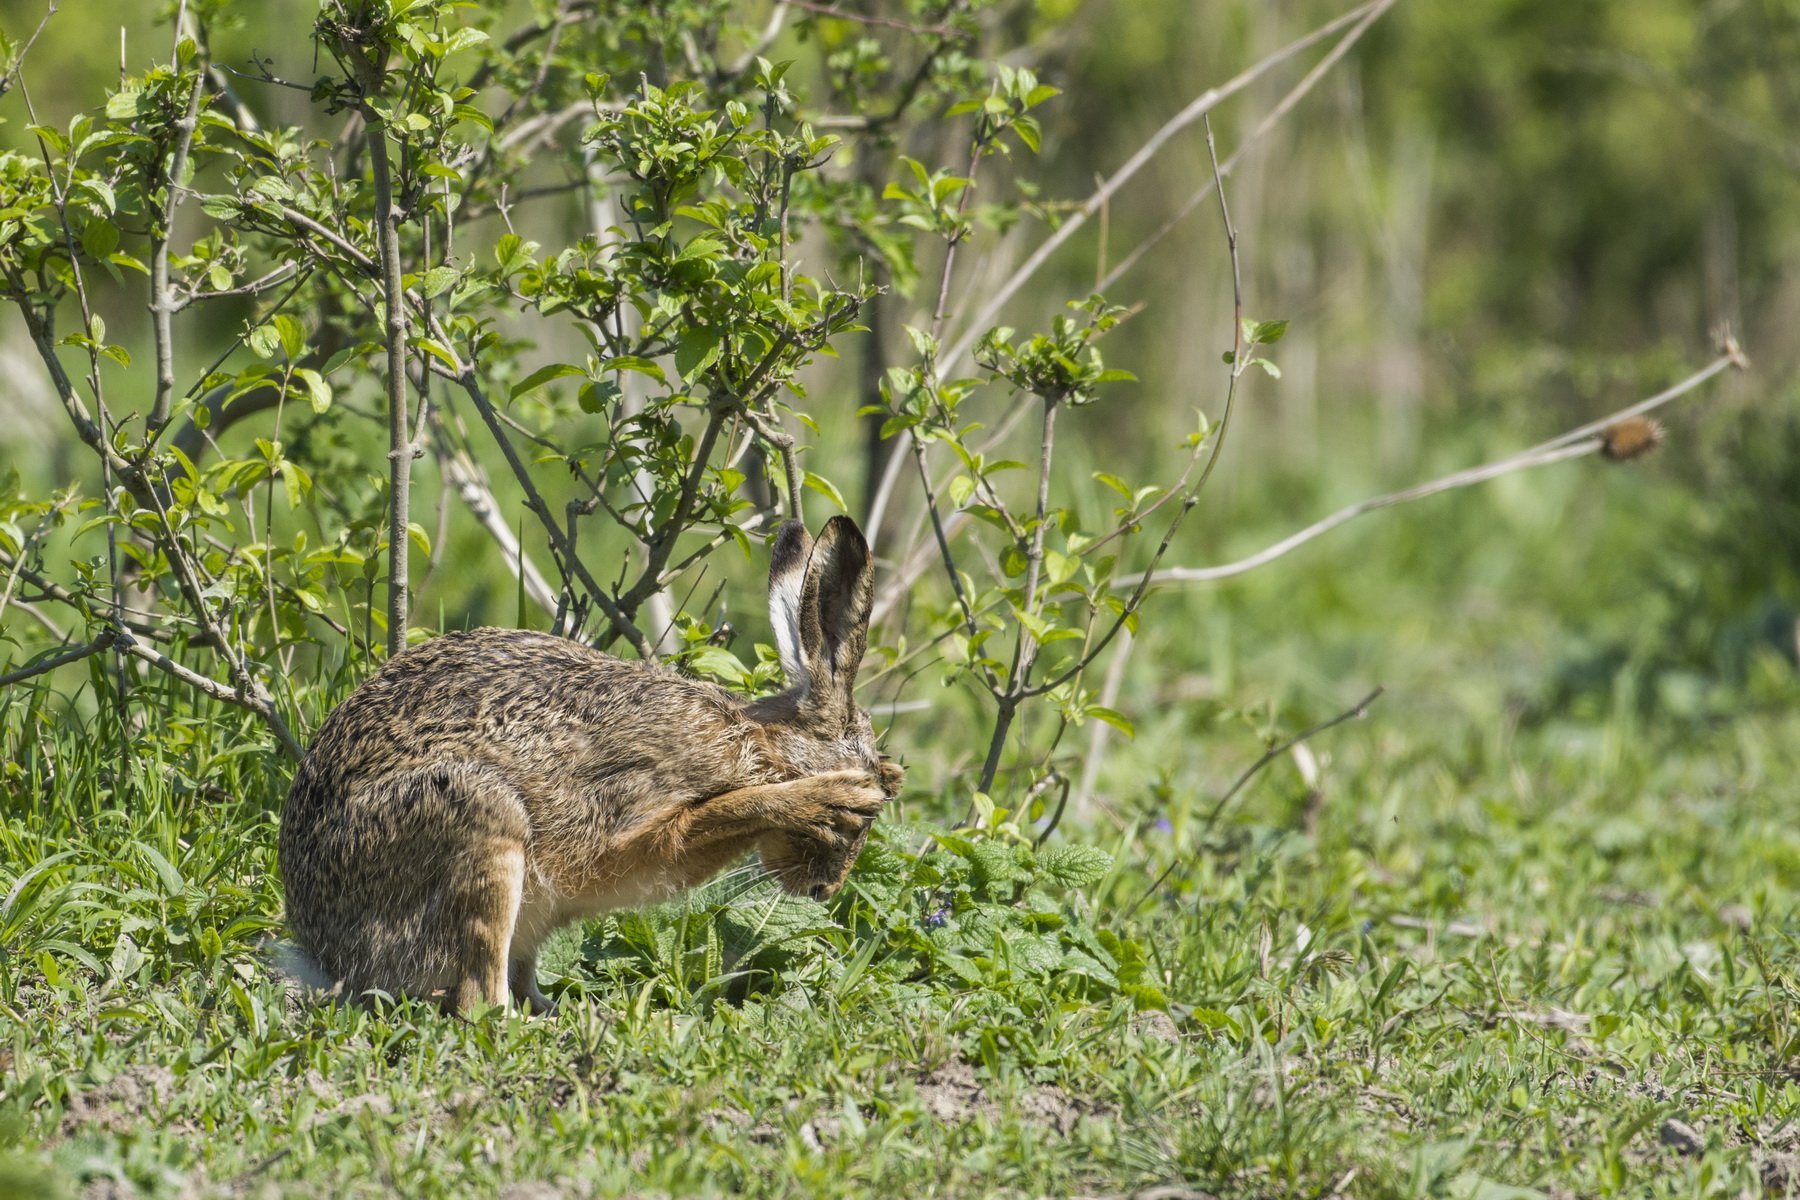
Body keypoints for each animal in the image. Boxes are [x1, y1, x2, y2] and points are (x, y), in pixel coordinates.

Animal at [278, 515, 903, 1015]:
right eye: (863, 820)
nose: (821, 890)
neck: (757, 747)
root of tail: (328, 955)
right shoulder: (629, 816)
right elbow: (713, 815)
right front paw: (826, 795)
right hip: (481, 819)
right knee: (479, 1001)